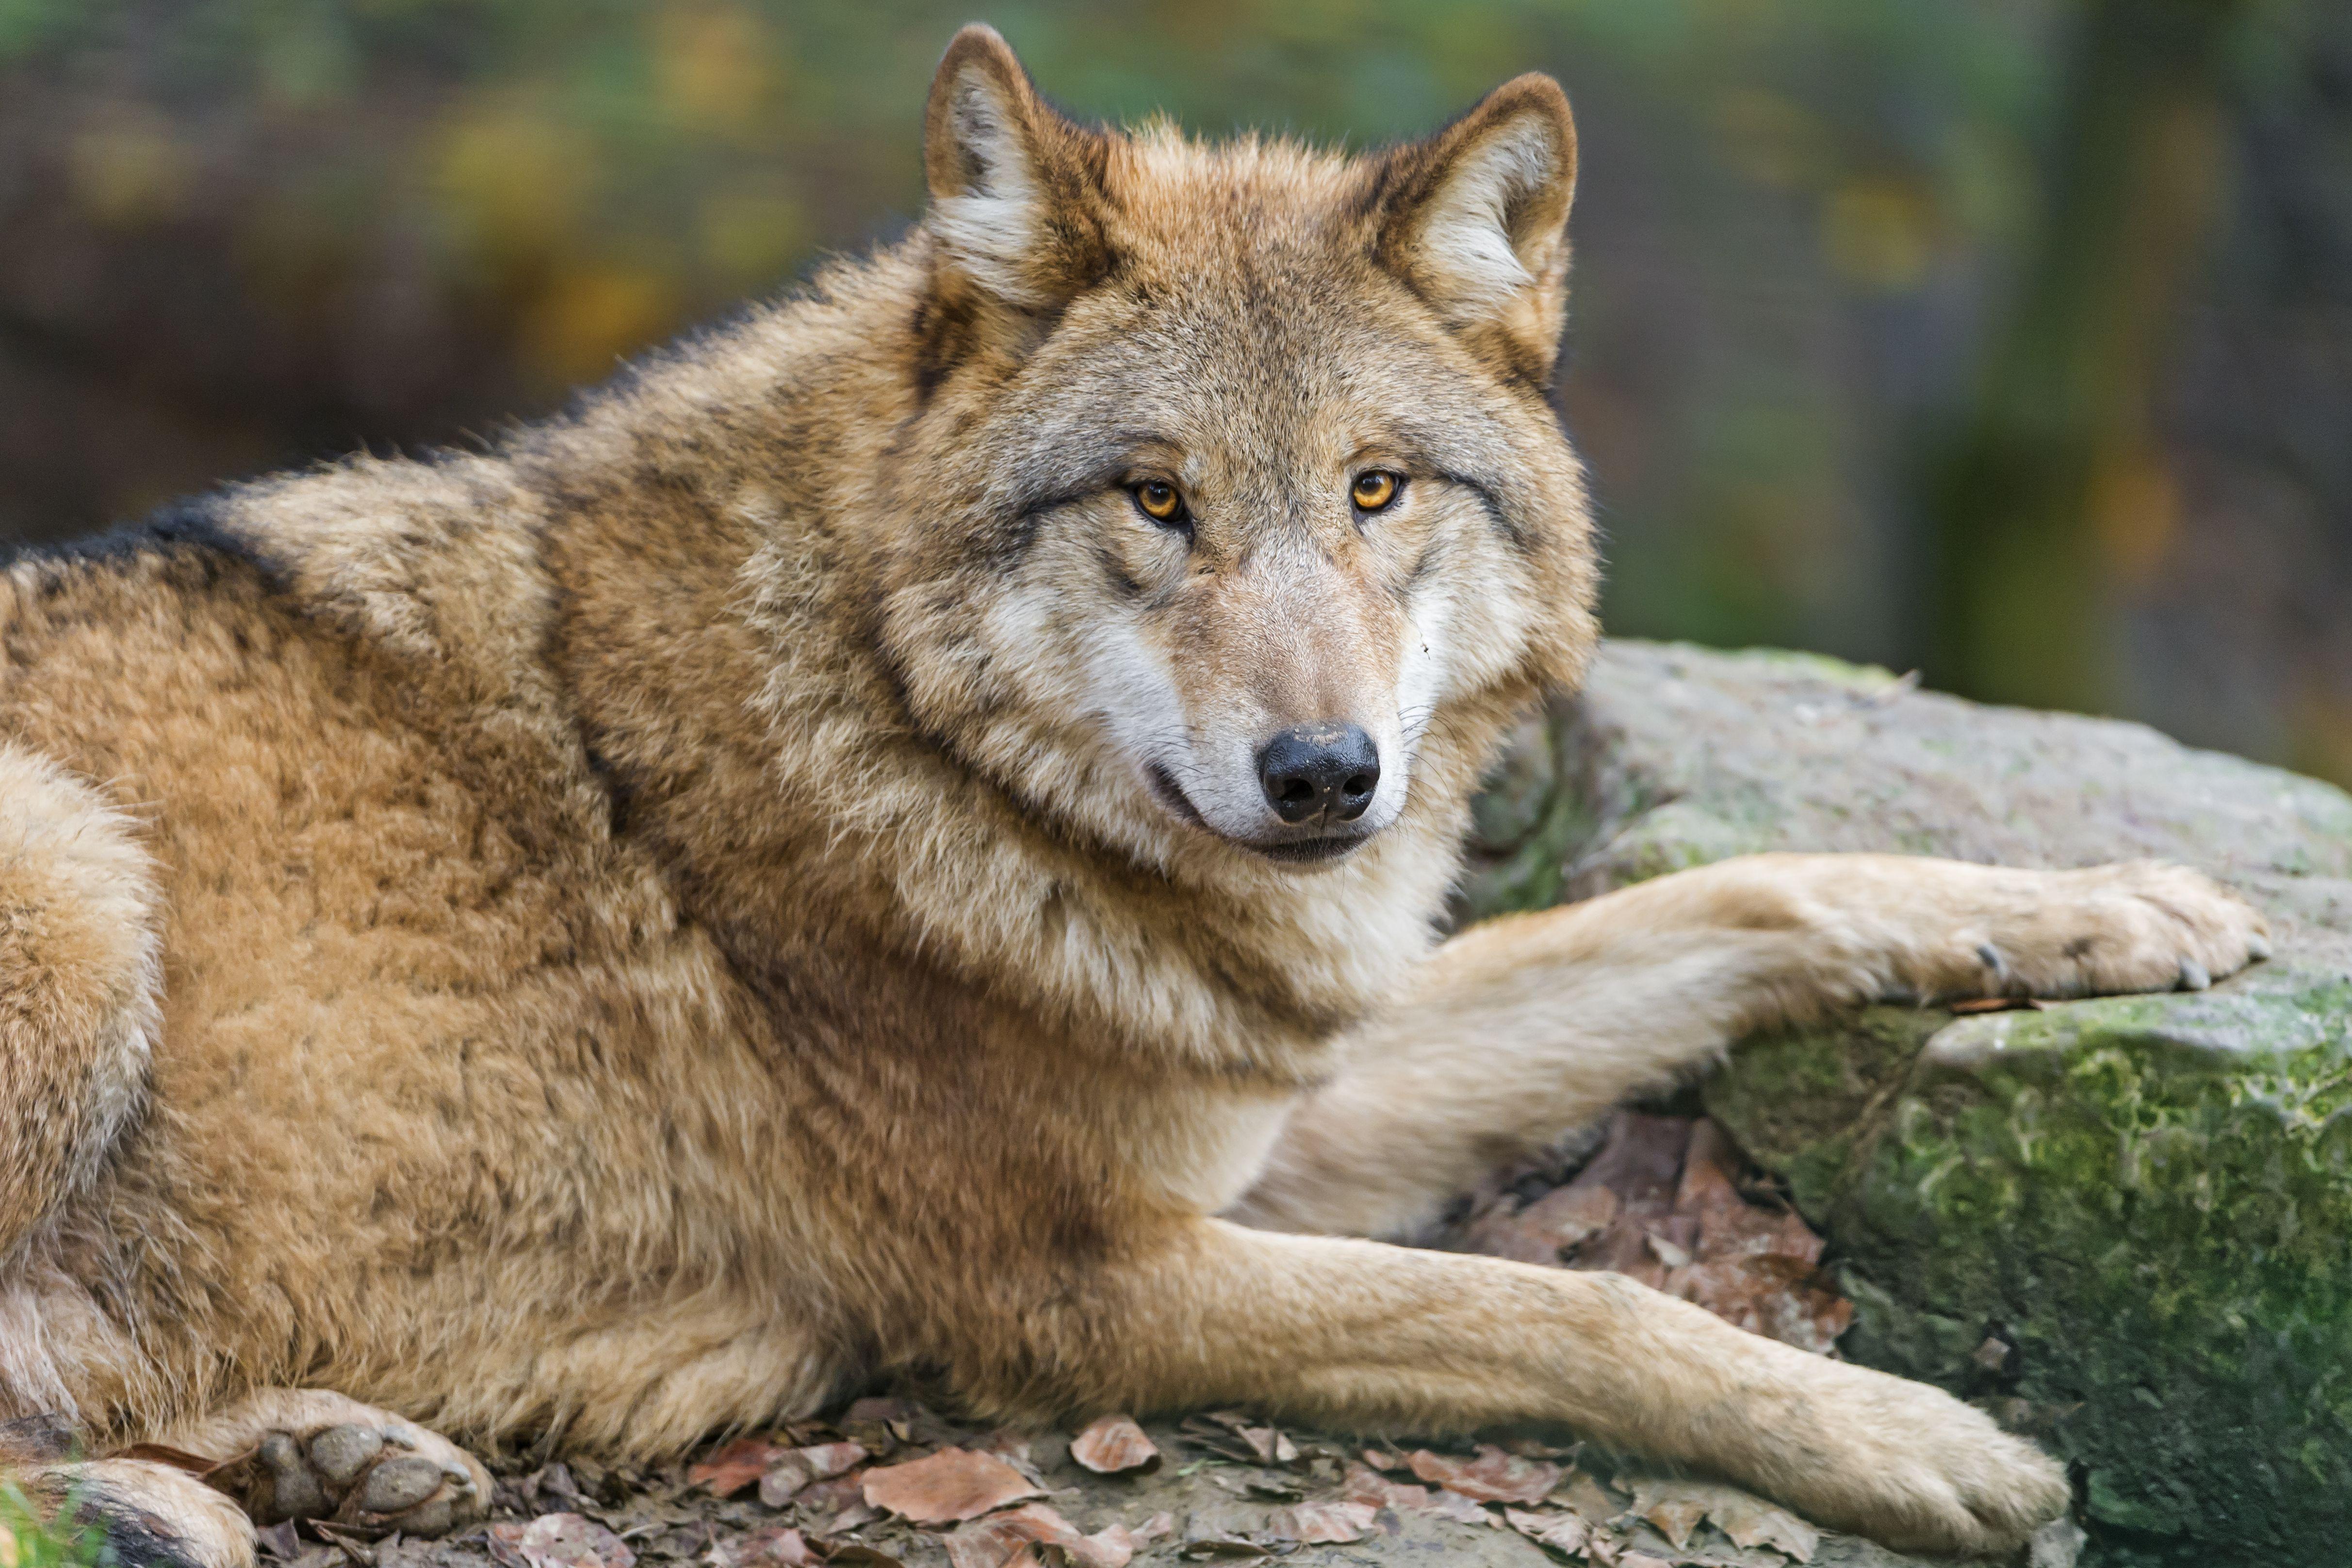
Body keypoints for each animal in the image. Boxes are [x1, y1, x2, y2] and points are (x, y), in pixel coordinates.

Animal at [0, 25, 2265, 1565]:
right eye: (1156, 500)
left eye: (1374, 487)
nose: (1322, 775)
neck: (904, 730)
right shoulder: (1085, 1279)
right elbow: (1571, 1306)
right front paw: (1919, 1440)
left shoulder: (1282, 1096)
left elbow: (1732, 898)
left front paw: (2109, 907)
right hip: (83, 878)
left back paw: (319, 1450)